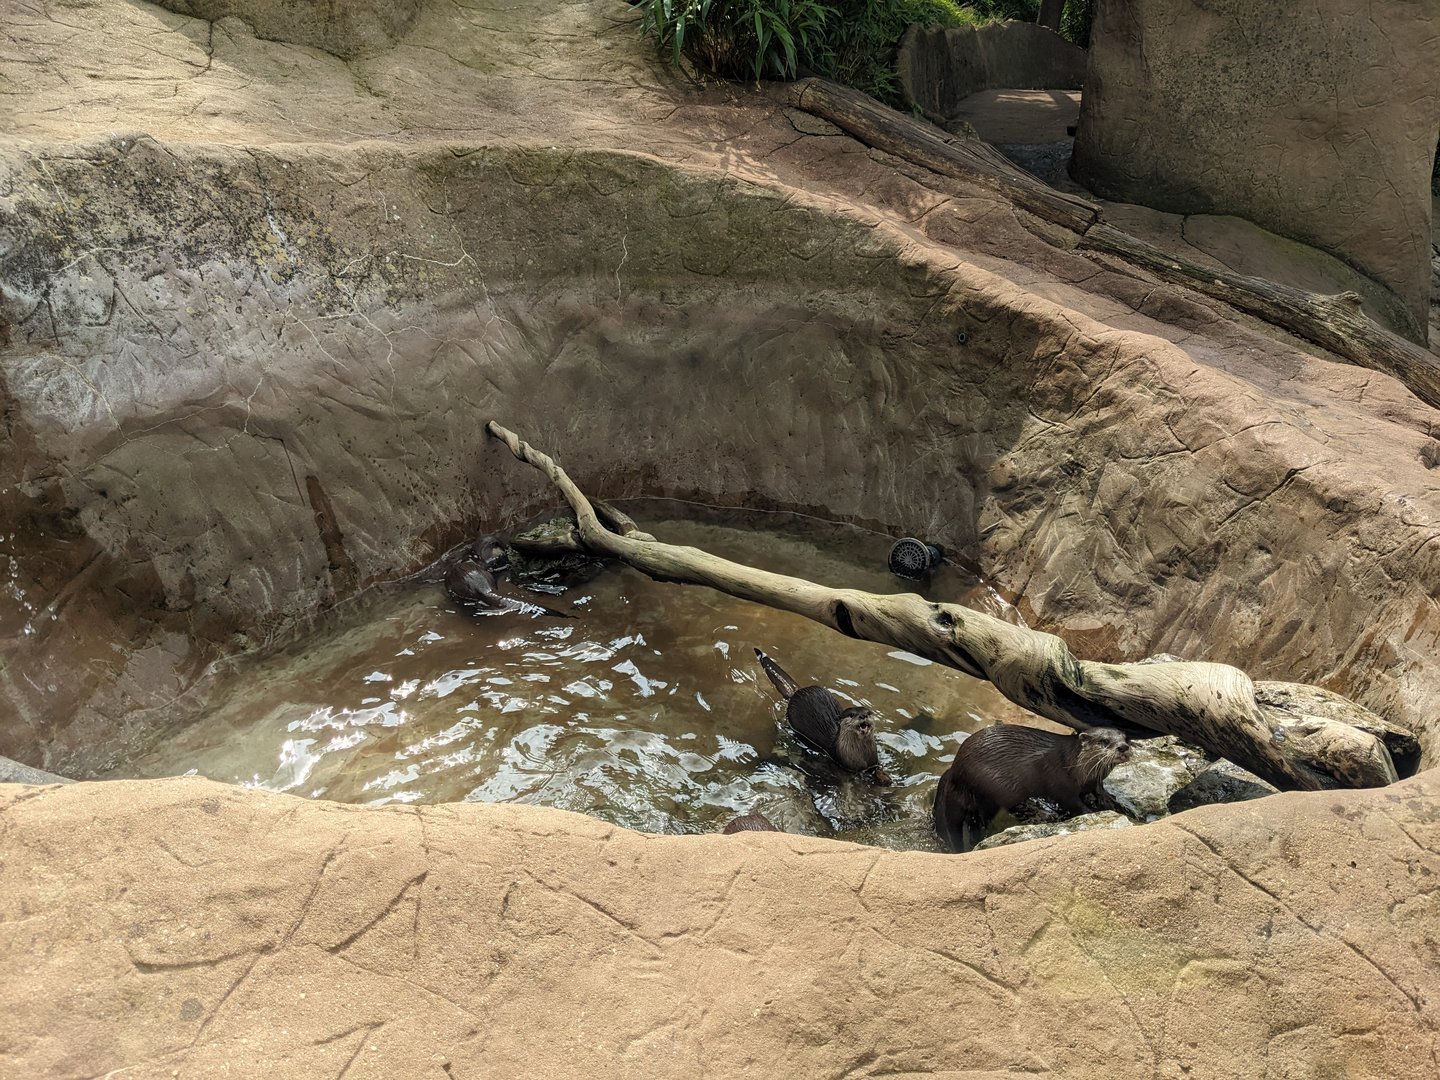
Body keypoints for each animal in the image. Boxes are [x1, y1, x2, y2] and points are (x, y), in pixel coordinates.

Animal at [753, 648, 892, 785]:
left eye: (868, 713)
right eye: (852, 715)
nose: (863, 716)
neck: (861, 756)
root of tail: (796, 692)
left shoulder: (873, 761)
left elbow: (877, 769)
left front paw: (884, 777)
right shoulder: (847, 764)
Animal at [932, 724, 1131, 852]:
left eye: (1126, 738)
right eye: (1104, 741)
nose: (1123, 747)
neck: (1075, 766)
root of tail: (955, 770)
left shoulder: (1095, 781)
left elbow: (1099, 790)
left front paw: (1112, 801)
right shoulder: (1060, 783)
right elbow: (1073, 803)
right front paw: (1092, 812)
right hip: (990, 787)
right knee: (983, 816)